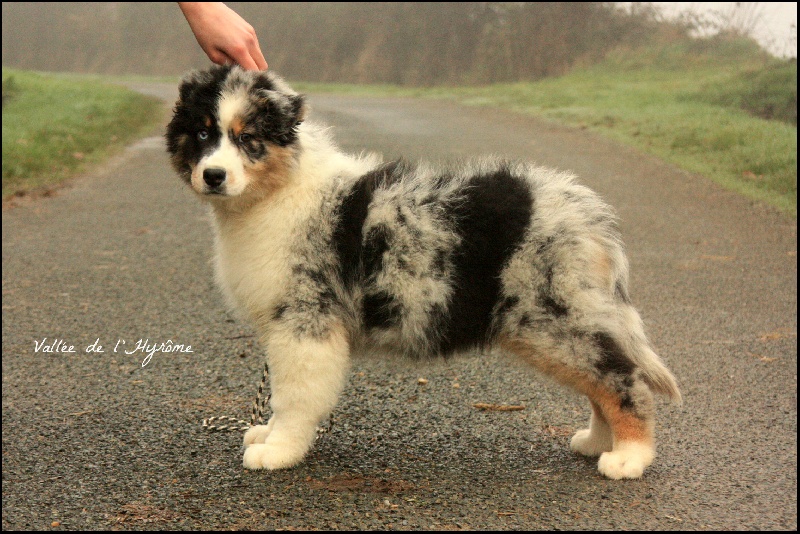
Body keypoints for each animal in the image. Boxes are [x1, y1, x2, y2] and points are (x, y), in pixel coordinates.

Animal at [167, 66, 680, 482]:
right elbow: (282, 390)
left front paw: (279, 451)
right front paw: (267, 435)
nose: (213, 176)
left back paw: (628, 457)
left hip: (552, 316)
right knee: (604, 377)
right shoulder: (286, 324)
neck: (277, 191)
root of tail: (590, 216)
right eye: (202, 134)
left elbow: (293, 394)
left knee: (623, 377)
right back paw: (597, 442)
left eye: (248, 138)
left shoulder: (305, 318)